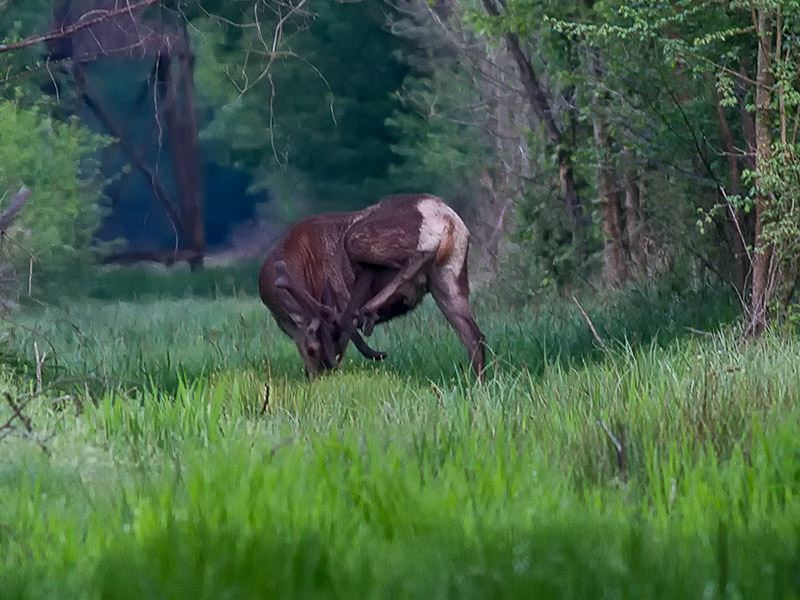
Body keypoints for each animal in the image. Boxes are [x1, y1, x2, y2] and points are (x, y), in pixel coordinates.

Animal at [260, 193, 488, 380]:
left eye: (311, 350)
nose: (316, 377)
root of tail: (446, 218)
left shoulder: (339, 303)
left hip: (356, 238)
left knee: (415, 257)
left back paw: (368, 311)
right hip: (448, 278)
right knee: (475, 337)